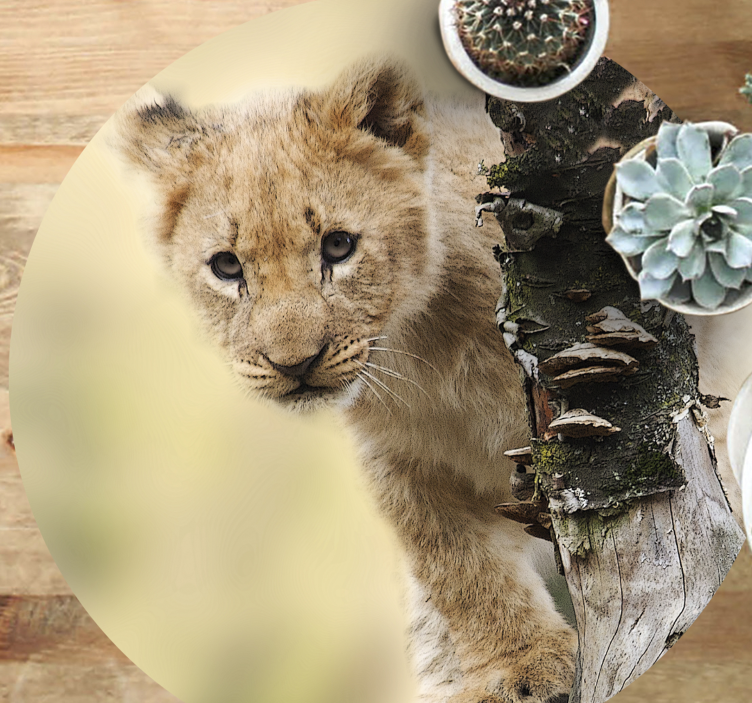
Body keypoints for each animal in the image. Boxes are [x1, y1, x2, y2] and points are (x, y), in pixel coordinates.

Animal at [114, 57, 745, 703]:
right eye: (226, 266)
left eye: (338, 246)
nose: (293, 364)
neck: (422, 352)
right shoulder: (399, 460)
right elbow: (456, 565)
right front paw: (521, 668)